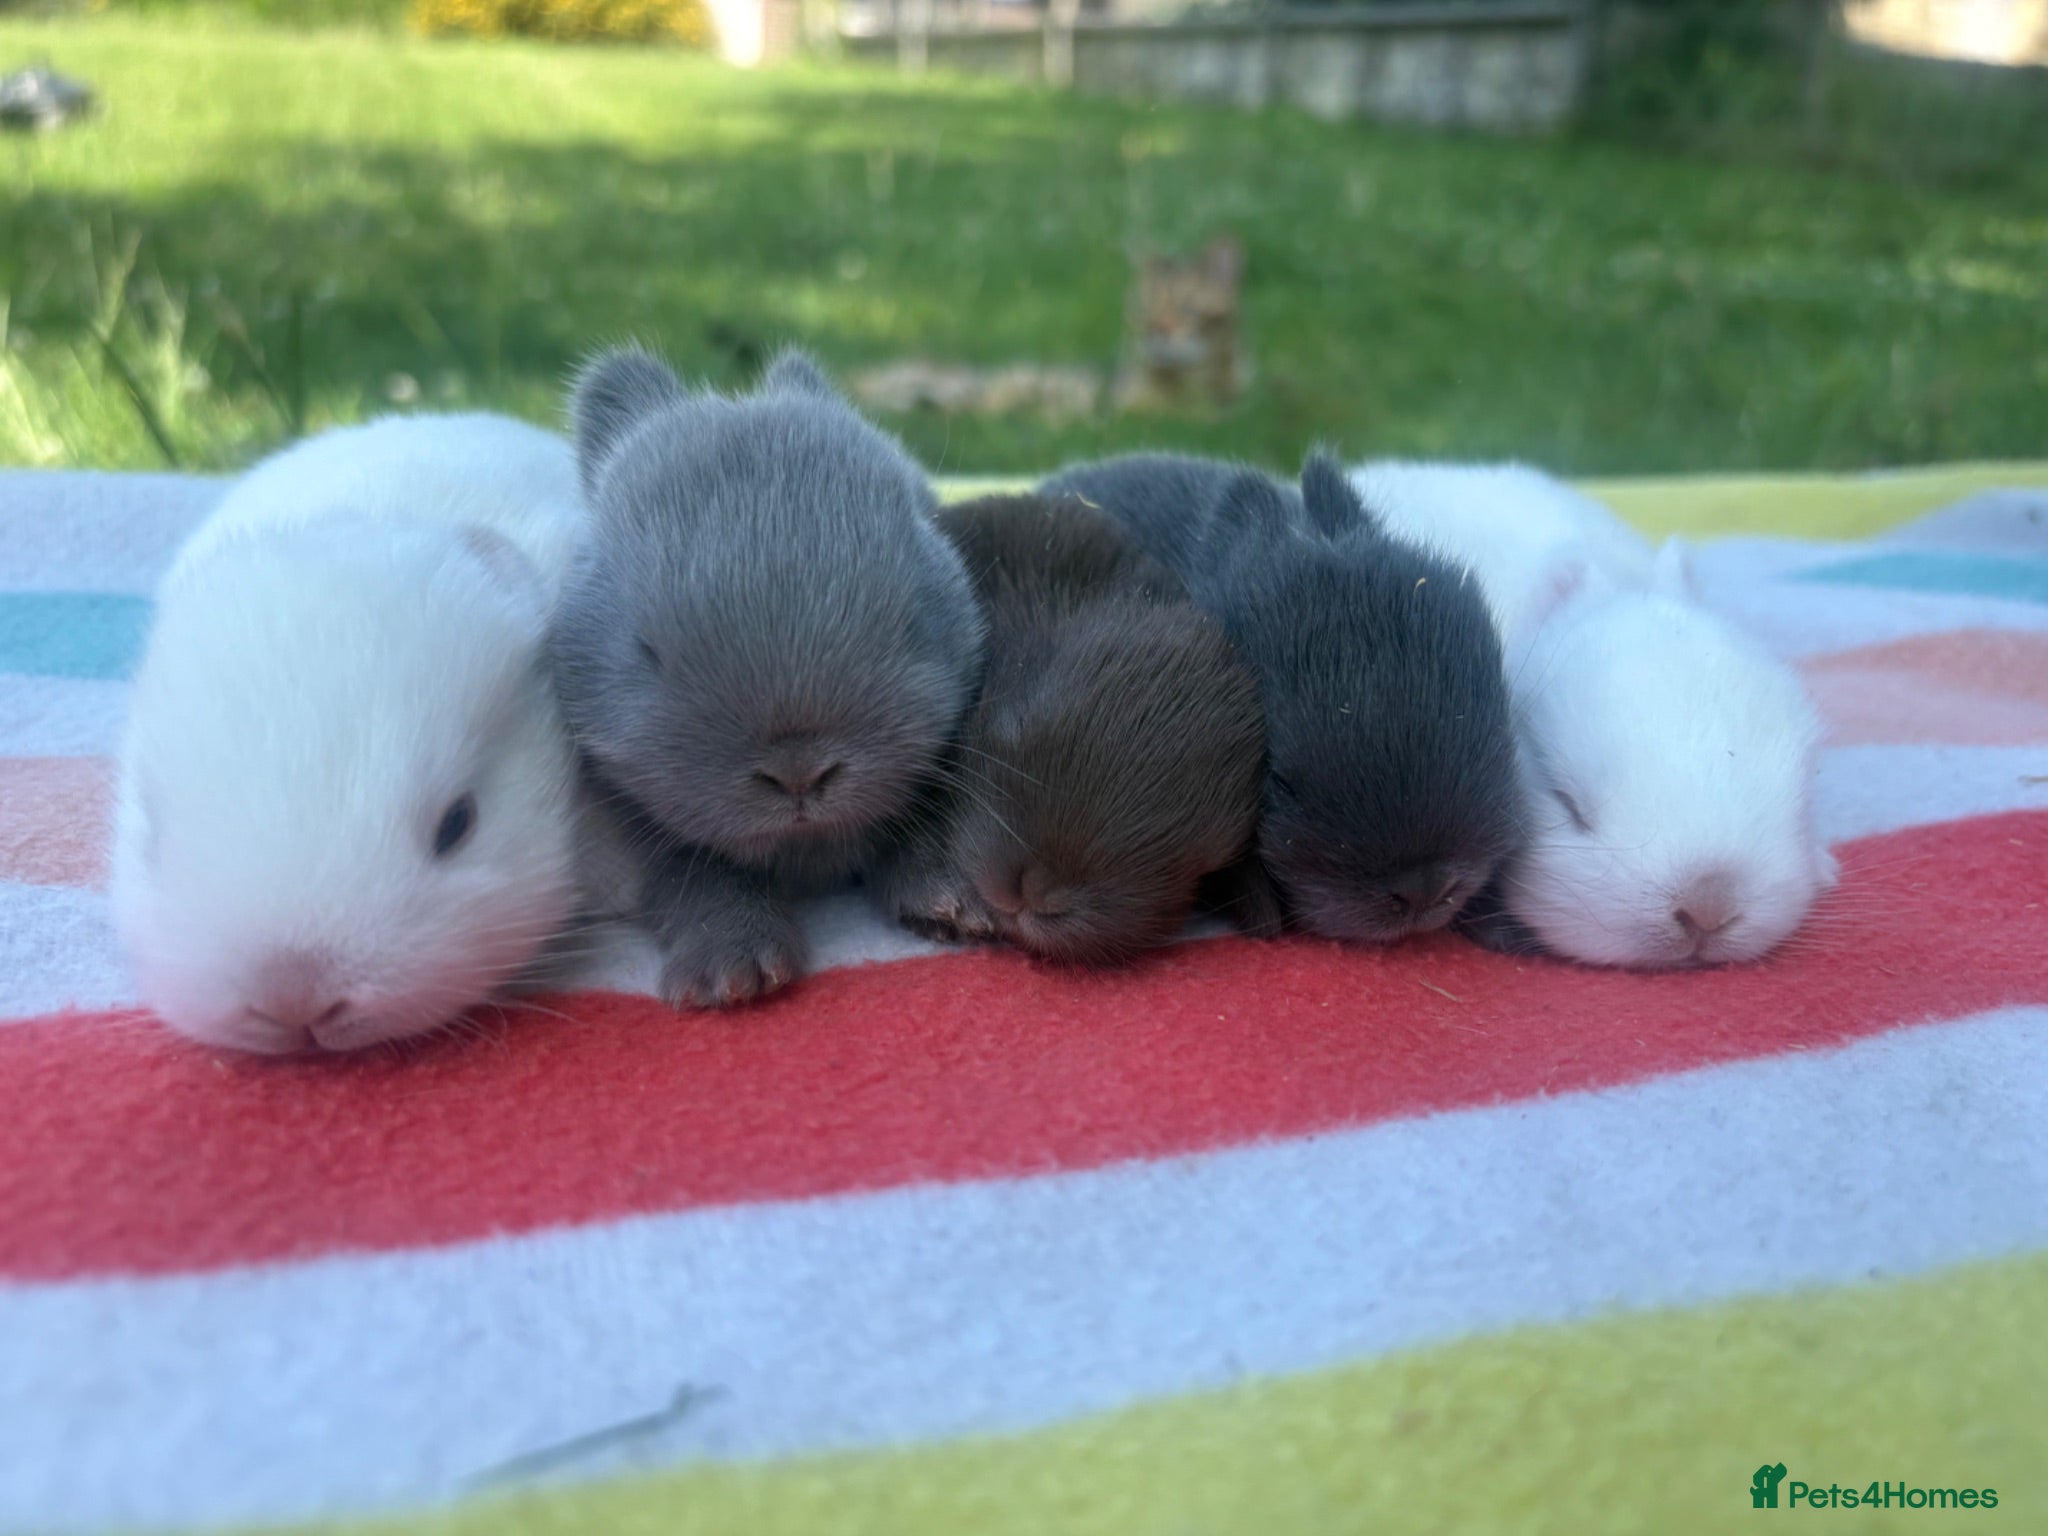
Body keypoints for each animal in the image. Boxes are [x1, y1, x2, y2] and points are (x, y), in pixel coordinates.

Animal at [550, 345, 984, 1008]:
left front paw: (950, 900)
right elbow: (702, 878)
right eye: (646, 651)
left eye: (912, 621)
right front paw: (732, 973)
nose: (798, 772)